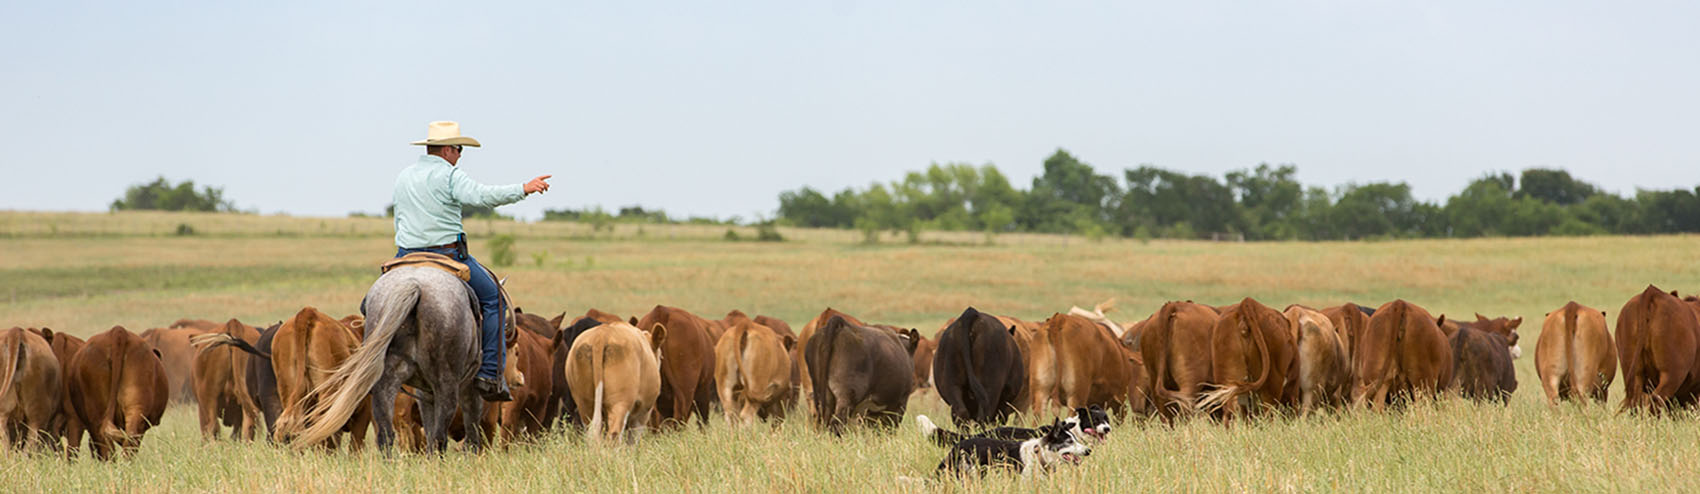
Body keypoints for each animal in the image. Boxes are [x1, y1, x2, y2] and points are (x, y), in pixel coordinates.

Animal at [292, 266, 486, 451]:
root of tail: (413, 285)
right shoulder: (466, 388)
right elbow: (470, 427)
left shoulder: (427, 393)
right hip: (446, 384)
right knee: (440, 437)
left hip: (385, 382)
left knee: (386, 434)